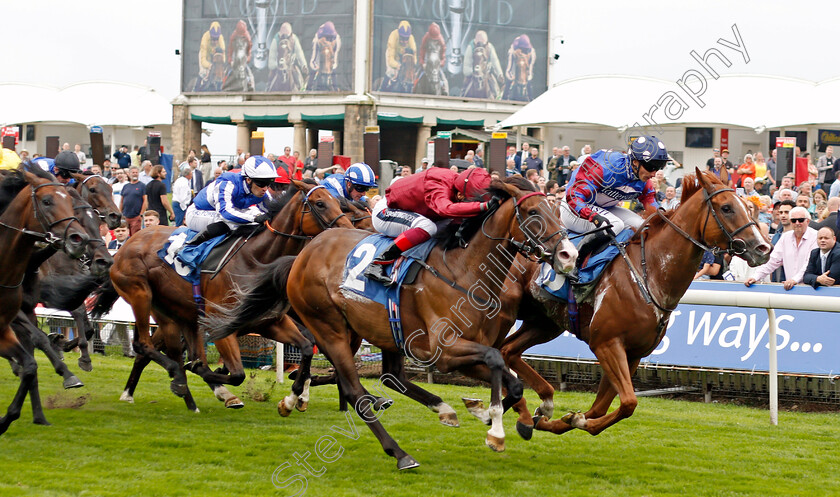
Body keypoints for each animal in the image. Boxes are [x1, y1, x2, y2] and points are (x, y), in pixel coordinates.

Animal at [0, 168, 89, 434]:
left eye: (70, 202)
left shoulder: (12, 320)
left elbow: (31, 364)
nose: (79, 239)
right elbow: (38, 340)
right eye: (47, 201)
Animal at [89, 182, 354, 410]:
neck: (256, 259)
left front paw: (293, 397)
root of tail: (124, 246)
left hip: (181, 315)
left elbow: (307, 348)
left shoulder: (269, 322)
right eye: (320, 203)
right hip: (142, 295)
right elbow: (234, 373)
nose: (348, 231)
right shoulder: (221, 325)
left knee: (159, 352)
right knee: (145, 345)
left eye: (339, 202)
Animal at [207, 176, 580, 466]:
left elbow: (511, 380)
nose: (569, 255)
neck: (463, 271)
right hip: (329, 327)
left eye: (554, 209)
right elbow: (498, 362)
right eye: (533, 213)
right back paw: (399, 453)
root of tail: (302, 255)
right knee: (355, 390)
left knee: (392, 376)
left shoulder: (460, 352)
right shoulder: (446, 351)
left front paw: (492, 416)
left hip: (384, 332)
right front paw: (495, 429)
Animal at [492, 170, 776, 438]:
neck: (650, 274)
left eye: (748, 206)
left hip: (545, 323)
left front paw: (563, 419)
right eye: (727, 208)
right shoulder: (606, 343)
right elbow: (628, 402)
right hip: (503, 313)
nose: (763, 248)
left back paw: (533, 404)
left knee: (508, 350)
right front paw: (571, 419)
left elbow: (601, 408)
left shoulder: (633, 353)